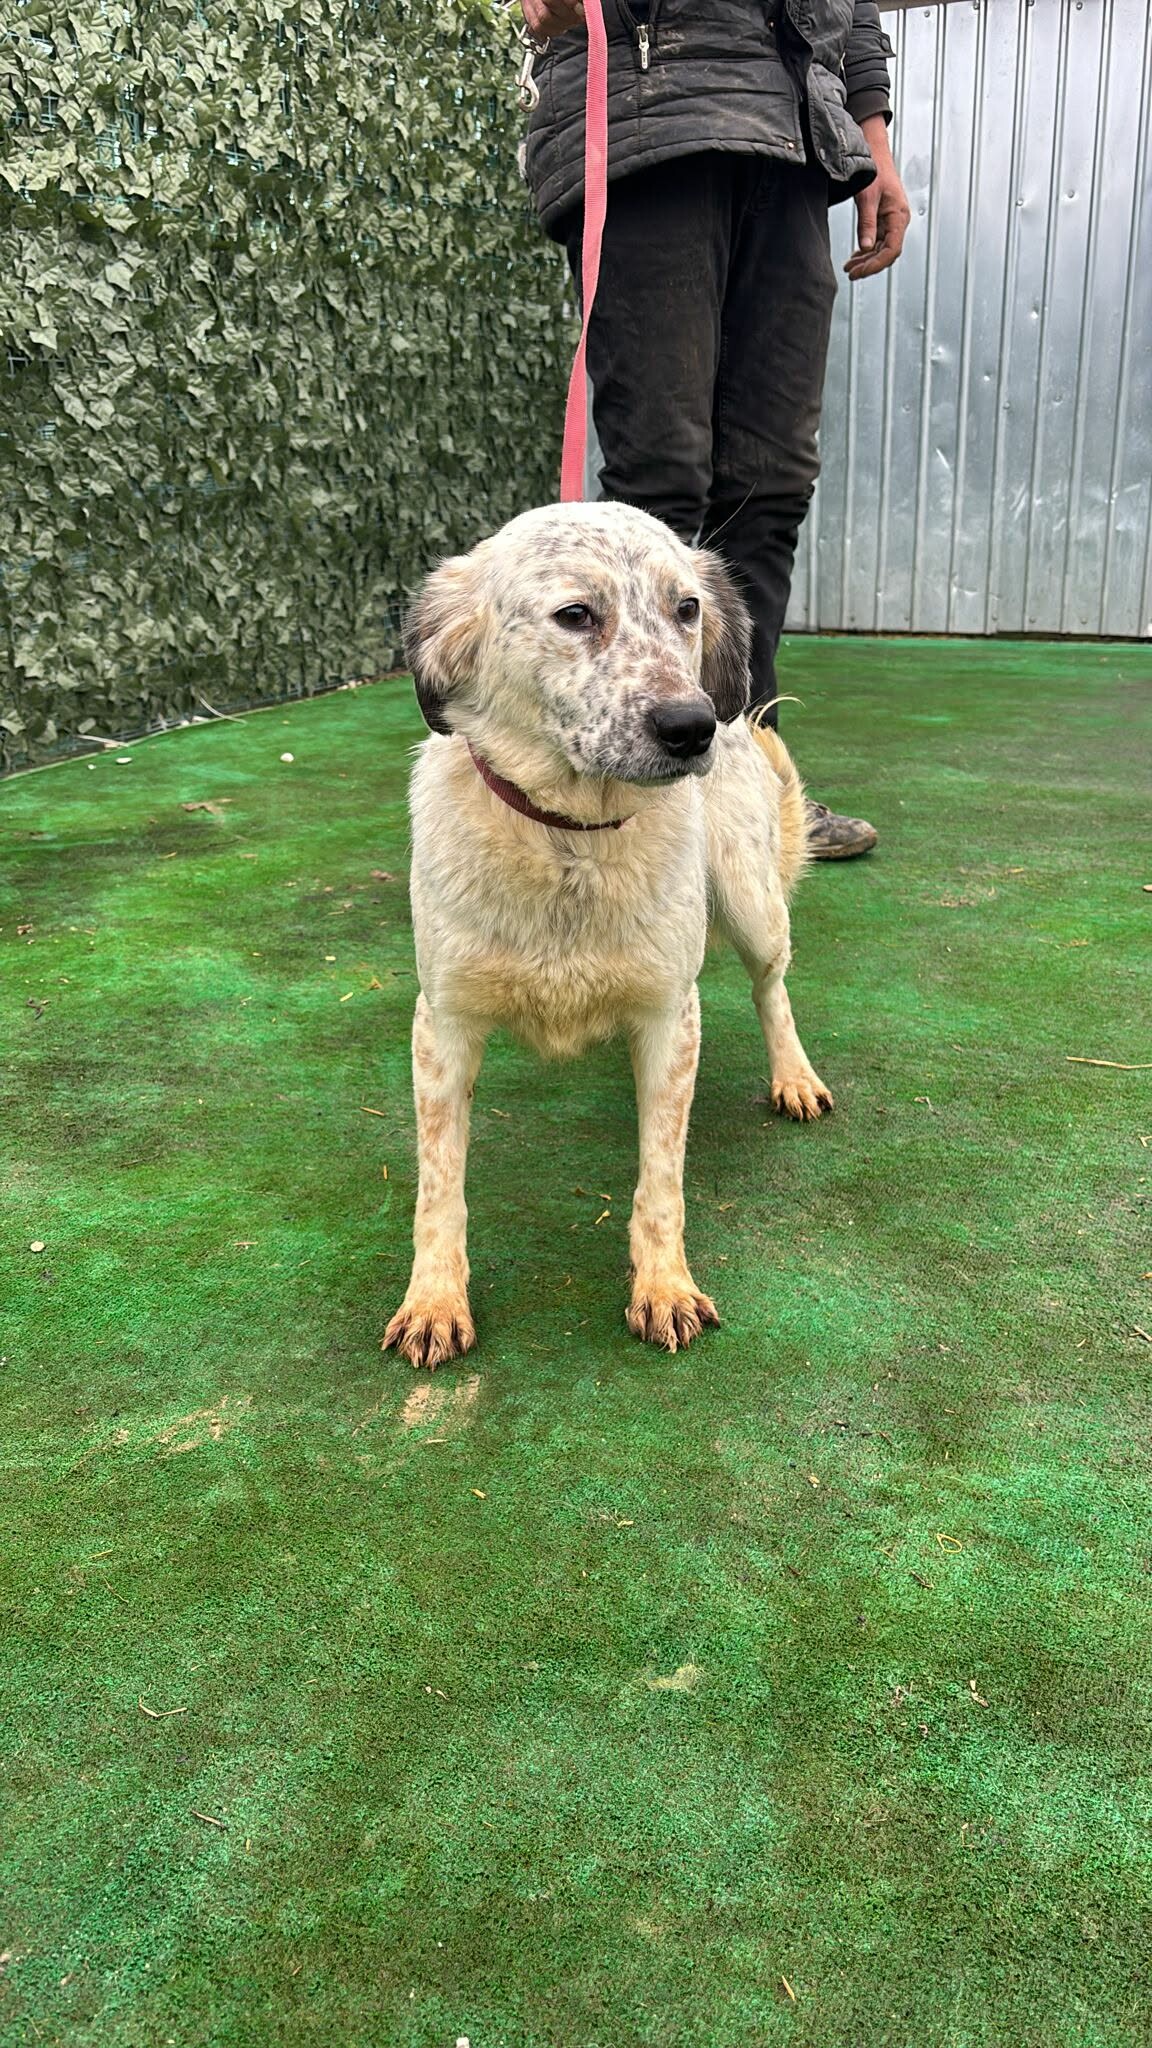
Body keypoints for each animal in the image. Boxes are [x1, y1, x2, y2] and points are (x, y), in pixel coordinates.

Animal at [383, 501, 832, 1368]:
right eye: (575, 615)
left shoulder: (670, 1015)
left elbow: (662, 1179)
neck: (571, 840)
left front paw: (664, 1287)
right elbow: (437, 1186)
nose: (693, 726)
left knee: (773, 988)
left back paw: (794, 1076)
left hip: (753, 904)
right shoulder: (441, 1027)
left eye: (686, 608)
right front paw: (434, 1301)